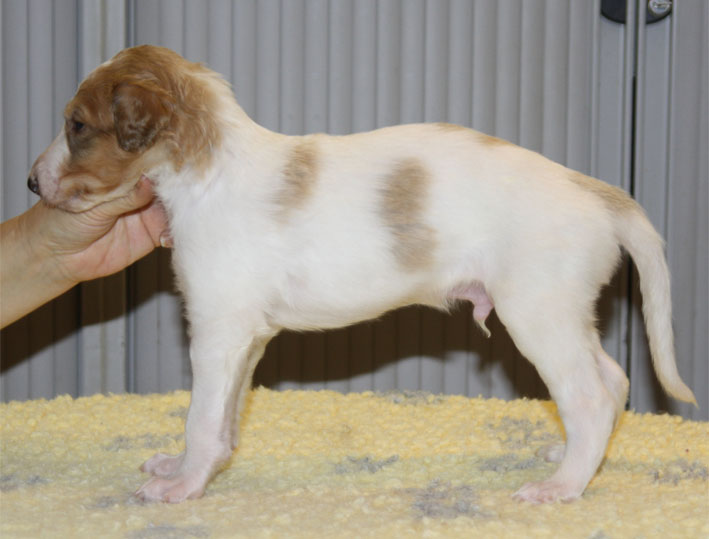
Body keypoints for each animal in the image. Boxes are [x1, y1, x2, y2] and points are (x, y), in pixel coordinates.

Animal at [28, 45, 696, 504]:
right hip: (563, 315)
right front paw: (195, 469)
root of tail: (595, 192)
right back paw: (573, 460)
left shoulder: (216, 332)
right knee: (613, 380)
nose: (32, 183)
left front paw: (182, 485)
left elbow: (200, 419)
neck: (211, 169)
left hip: (538, 313)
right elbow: (224, 421)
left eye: (77, 124)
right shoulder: (245, 337)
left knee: (589, 395)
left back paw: (561, 486)